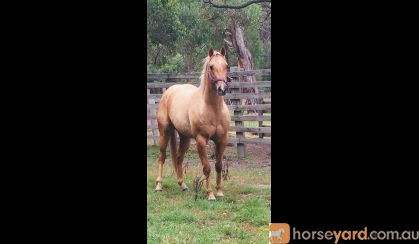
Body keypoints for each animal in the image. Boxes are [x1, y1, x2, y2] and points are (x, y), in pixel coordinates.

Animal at [155, 47, 231, 200]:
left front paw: (219, 191)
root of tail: (169, 91)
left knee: (179, 158)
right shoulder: (201, 140)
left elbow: (219, 166)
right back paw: (159, 186)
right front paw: (210, 194)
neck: (212, 109)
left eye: (226, 66)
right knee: (162, 157)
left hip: (185, 138)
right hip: (164, 132)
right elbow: (207, 167)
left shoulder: (222, 140)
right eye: (211, 67)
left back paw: (183, 185)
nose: (222, 89)